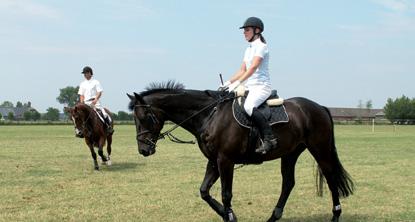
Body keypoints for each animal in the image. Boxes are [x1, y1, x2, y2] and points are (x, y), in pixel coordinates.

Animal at [127, 82, 354, 222]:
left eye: (144, 117)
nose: (143, 149)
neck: (210, 115)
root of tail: (319, 107)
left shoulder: (225, 161)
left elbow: (226, 194)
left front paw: (229, 216)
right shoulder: (214, 161)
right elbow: (204, 191)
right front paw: (228, 215)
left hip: (319, 149)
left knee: (330, 178)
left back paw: (336, 215)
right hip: (290, 153)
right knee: (288, 183)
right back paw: (273, 217)